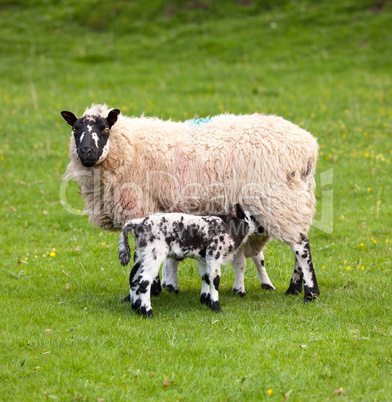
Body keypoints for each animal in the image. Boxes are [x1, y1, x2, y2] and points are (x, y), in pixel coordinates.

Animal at [60, 103, 318, 302]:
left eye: (105, 129)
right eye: (75, 129)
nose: (86, 152)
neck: (129, 147)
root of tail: (308, 146)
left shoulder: (140, 207)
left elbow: (142, 256)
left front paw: (150, 290)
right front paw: (163, 286)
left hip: (277, 199)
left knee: (300, 246)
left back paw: (310, 293)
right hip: (294, 199)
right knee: (299, 241)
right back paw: (294, 288)